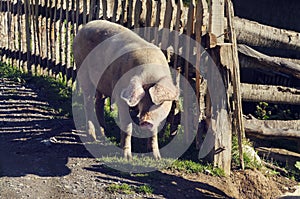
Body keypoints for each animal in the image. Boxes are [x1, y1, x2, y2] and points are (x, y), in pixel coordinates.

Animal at [72, 19, 178, 160]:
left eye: (158, 103)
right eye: (142, 100)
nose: (145, 121)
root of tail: (84, 27)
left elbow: (154, 133)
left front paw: (156, 157)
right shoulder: (121, 98)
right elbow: (127, 127)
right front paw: (128, 158)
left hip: (102, 83)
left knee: (98, 103)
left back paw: (103, 135)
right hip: (83, 72)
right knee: (88, 103)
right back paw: (93, 137)